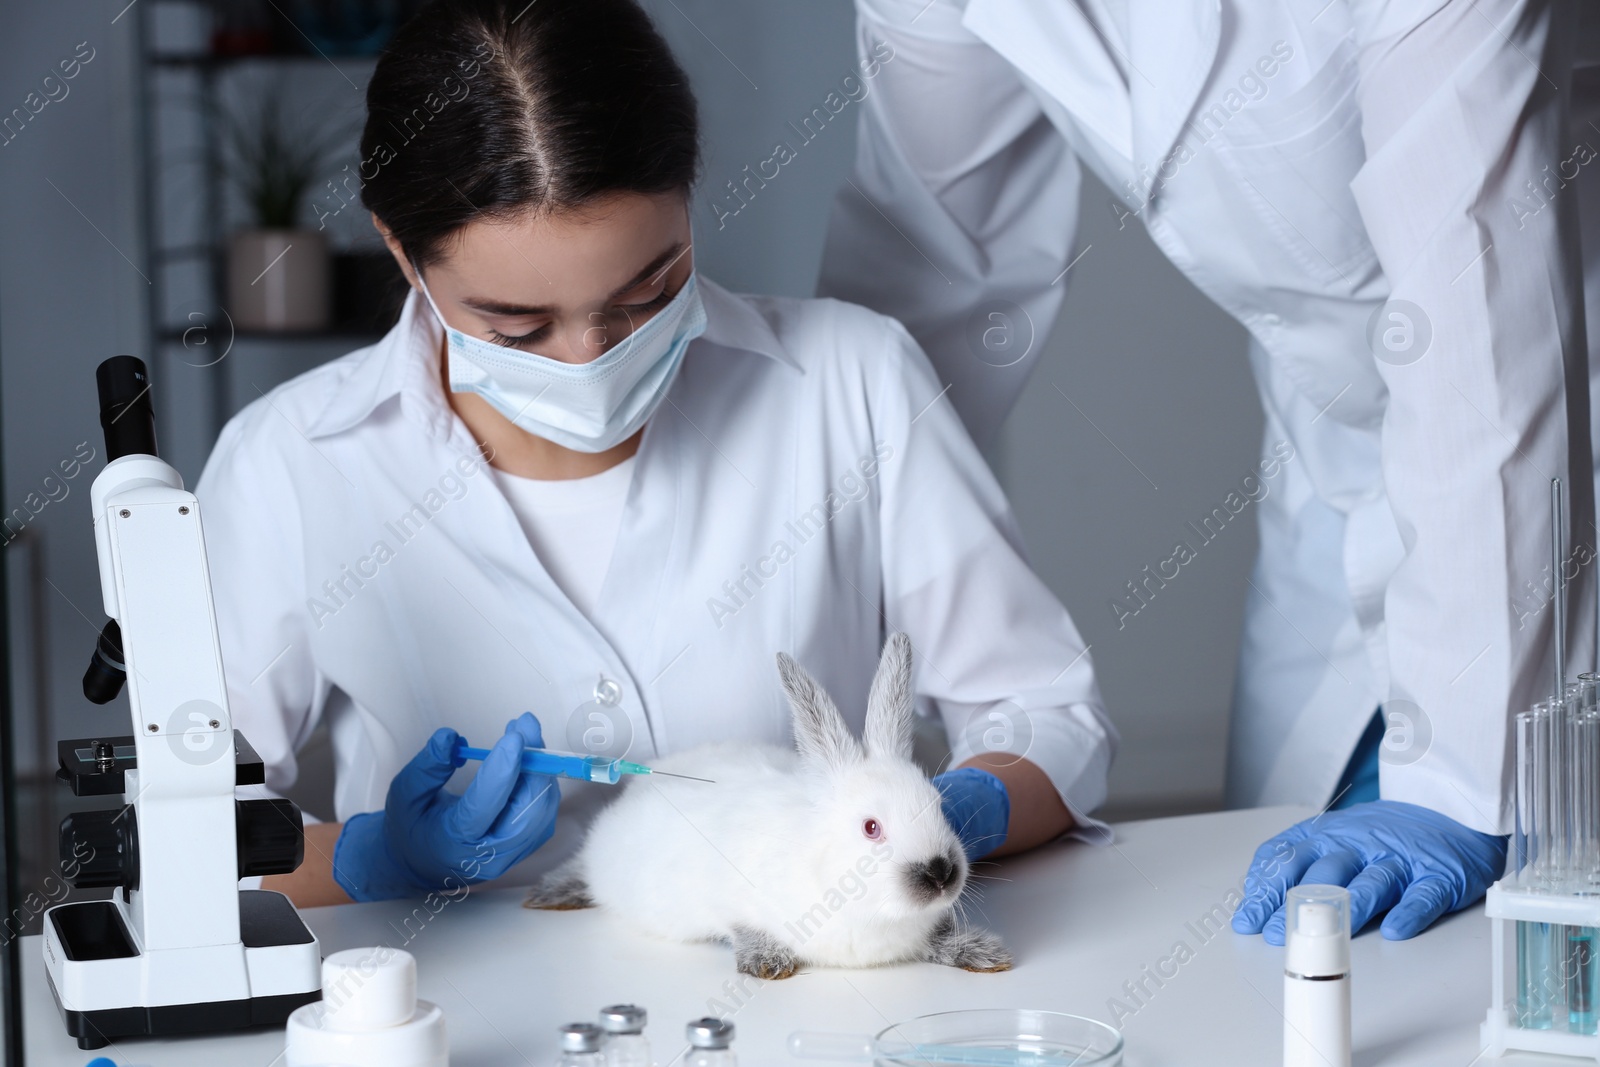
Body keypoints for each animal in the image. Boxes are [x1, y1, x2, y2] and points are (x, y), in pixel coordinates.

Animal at [524, 633, 1004, 979]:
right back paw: (549, 893)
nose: (941, 874)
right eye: (871, 827)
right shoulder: (724, 896)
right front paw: (768, 962)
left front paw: (983, 952)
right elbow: (739, 925)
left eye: (939, 804)